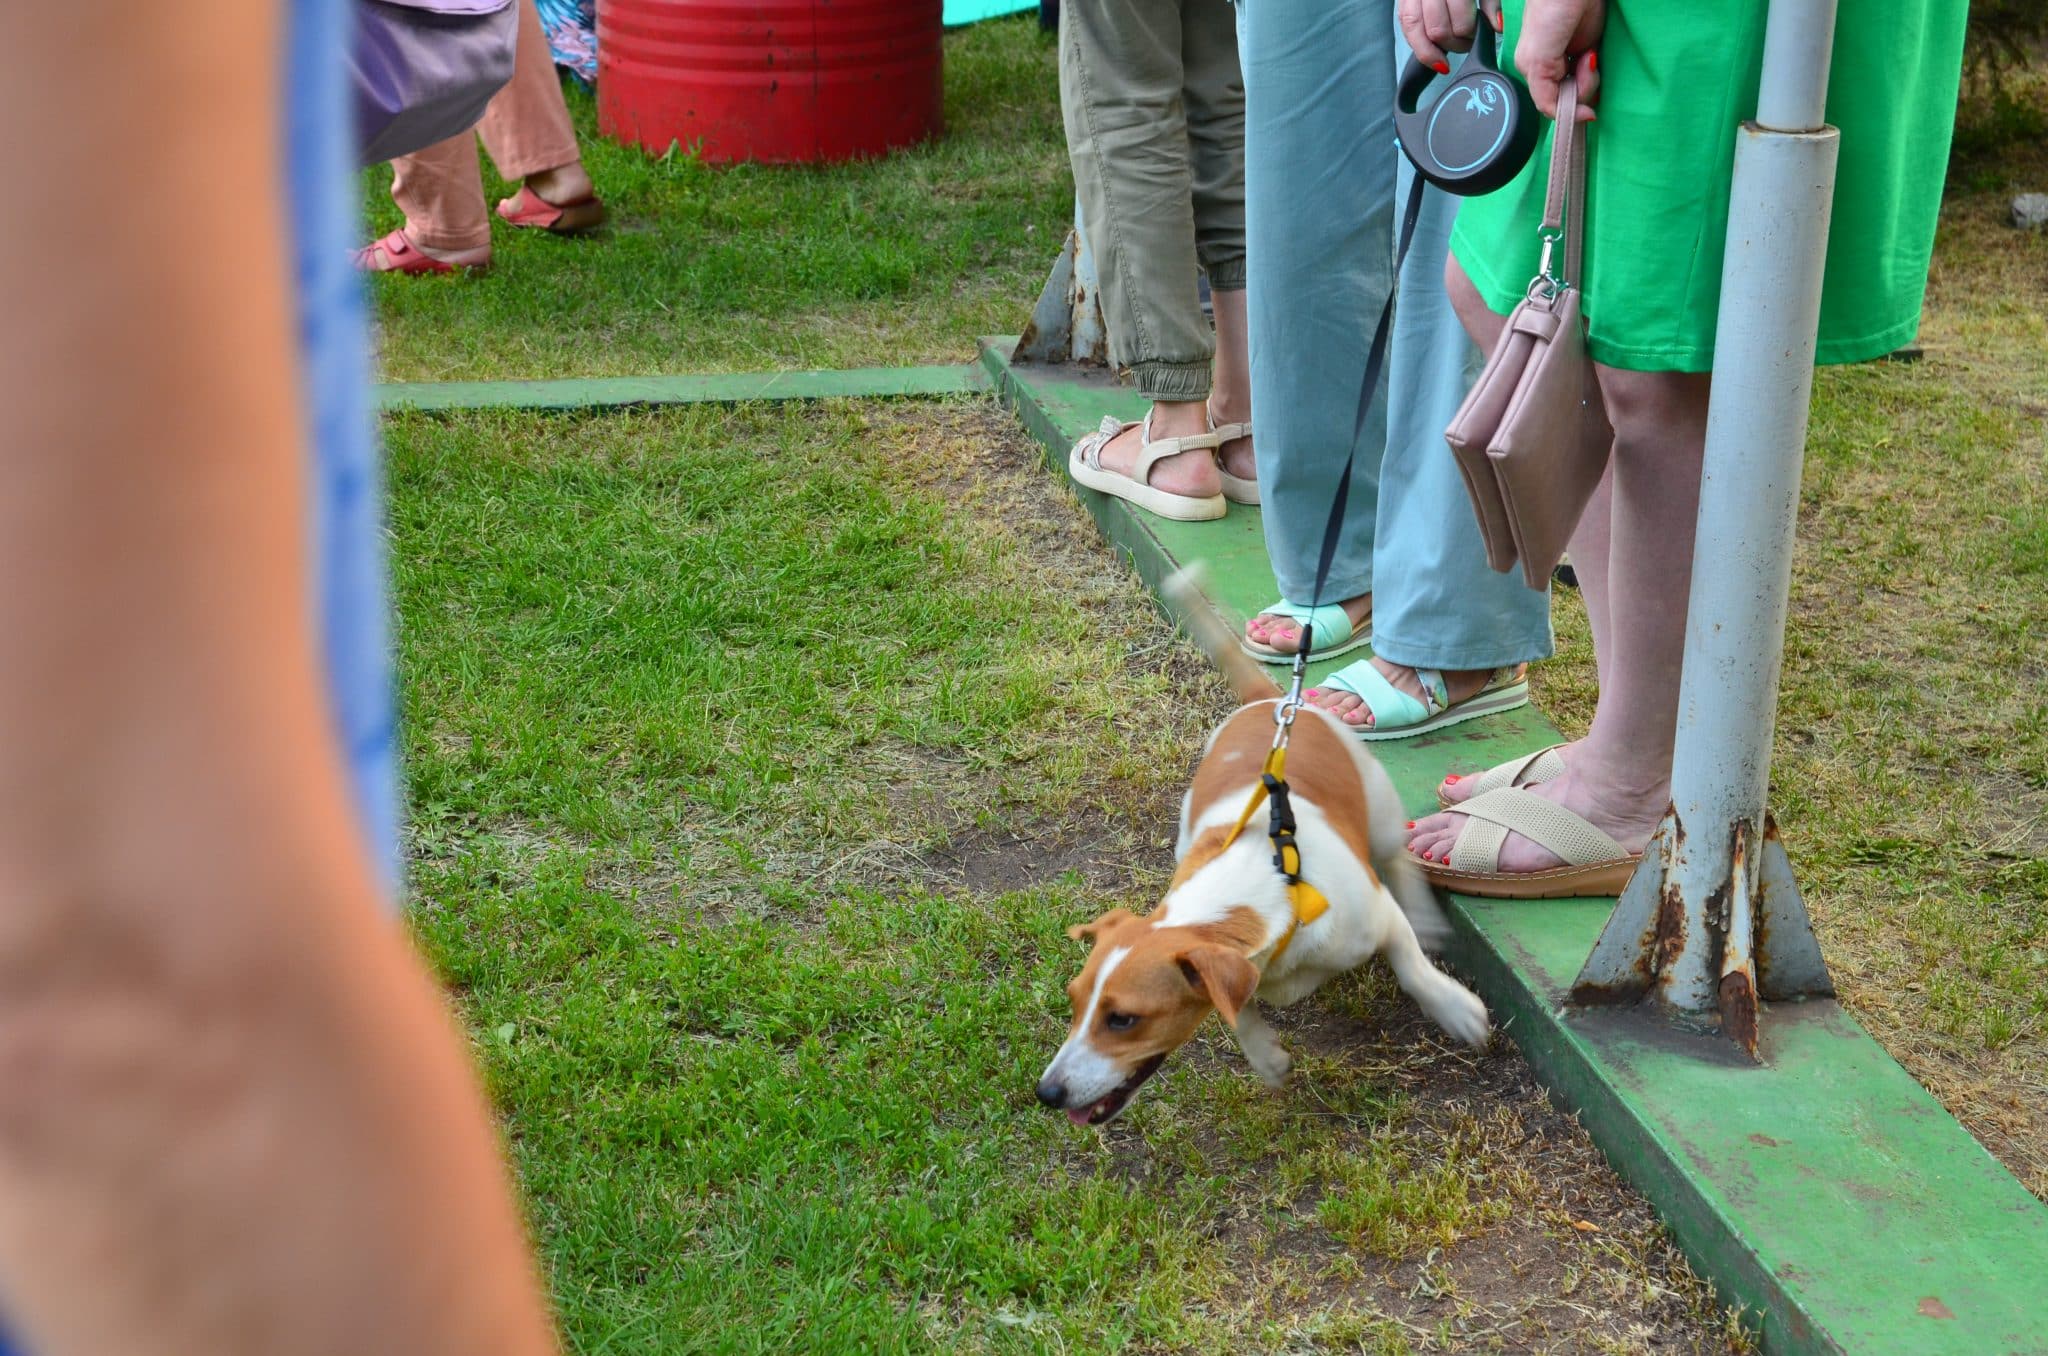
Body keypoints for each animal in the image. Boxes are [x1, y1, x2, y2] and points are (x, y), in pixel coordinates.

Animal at [1040, 585, 1490, 1122]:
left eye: (1123, 1019)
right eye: (1073, 1001)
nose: (1046, 1093)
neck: (1265, 887)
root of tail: (1274, 702)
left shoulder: (1379, 914)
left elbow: (1413, 968)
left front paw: (1454, 1007)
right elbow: (1239, 1009)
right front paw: (1264, 1055)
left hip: (1379, 809)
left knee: (1400, 859)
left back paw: (1425, 916)